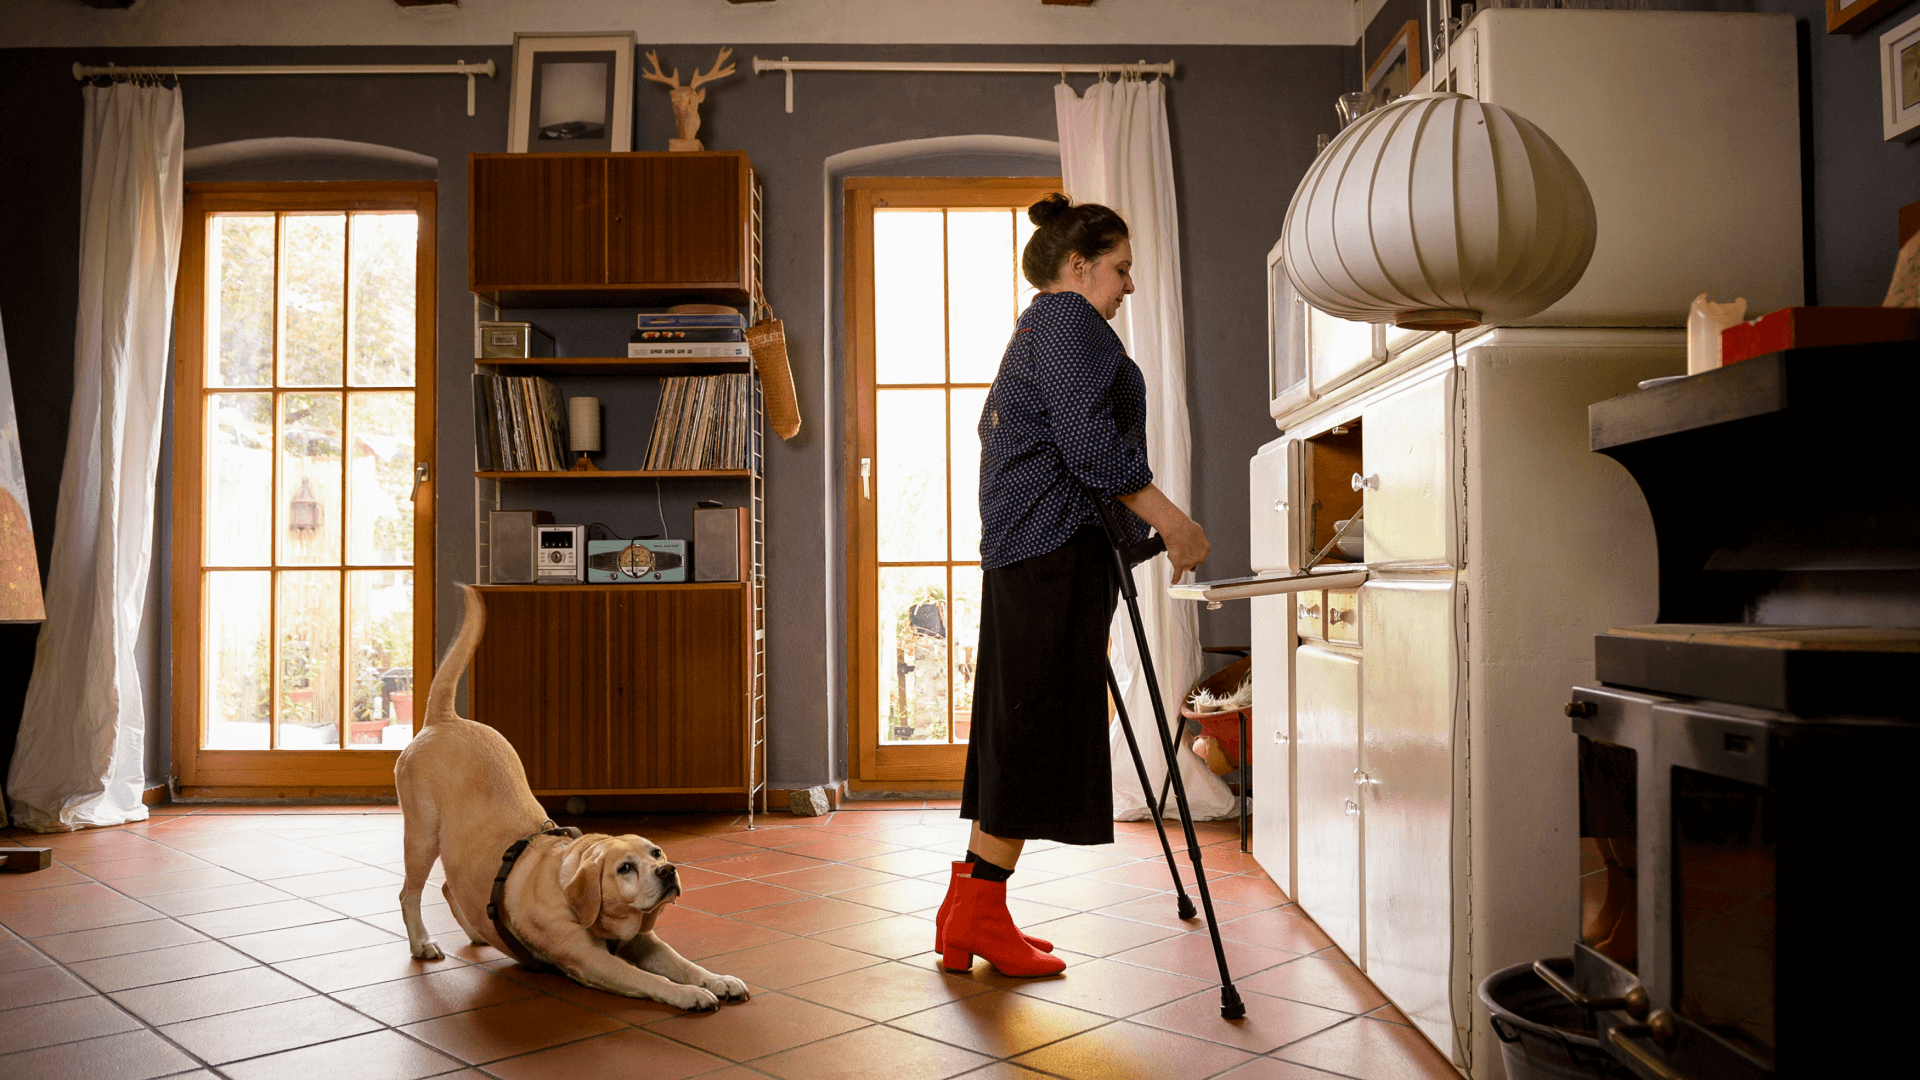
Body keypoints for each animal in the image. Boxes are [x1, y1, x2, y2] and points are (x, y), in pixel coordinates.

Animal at [393, 580, 744, 1006]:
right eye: (624, 868)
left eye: (657, 852)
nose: (668, 871)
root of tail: (444, 719)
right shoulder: (593, 961)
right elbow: (652, 980)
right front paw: (688, 994)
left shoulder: (646, 942)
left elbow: (684, 963)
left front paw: (717, 979)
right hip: (422, 837)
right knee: (409, 893)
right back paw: (421, 944)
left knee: (449, 887)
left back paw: (478, 931)